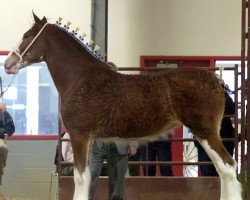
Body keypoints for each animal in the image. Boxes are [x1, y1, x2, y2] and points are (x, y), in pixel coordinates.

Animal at [4, 13, 242, 199]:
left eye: (27, 35)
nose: (8, 63)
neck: (80, 78)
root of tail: (216, 81)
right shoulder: (89, 139)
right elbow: (88, 177)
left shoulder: (79, 136)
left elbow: (80, 178)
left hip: (205, 132)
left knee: (227, 167)